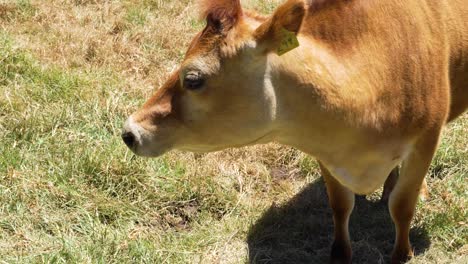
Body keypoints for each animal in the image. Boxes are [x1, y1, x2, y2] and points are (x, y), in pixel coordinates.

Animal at [121, 1, 468, 262]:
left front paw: (402, 253)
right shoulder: (325, 148)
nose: (129, 132)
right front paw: (340, 253)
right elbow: (340, 204)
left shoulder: (425, 139)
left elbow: (402, 206)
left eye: (193, 79)